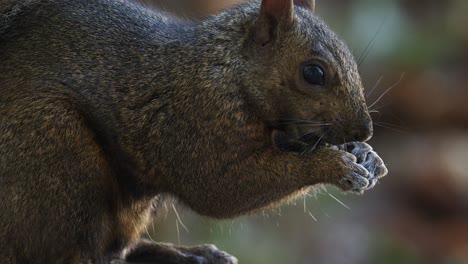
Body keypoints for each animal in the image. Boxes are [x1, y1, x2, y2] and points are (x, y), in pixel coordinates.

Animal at [0, 0, 388, 262]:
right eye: (313, 73)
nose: (364, 131)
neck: (227, 69)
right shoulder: (195, 119)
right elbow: (219, 189)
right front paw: (335, 166)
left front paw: (366, 156)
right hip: (55, 152)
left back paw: (191, 254)